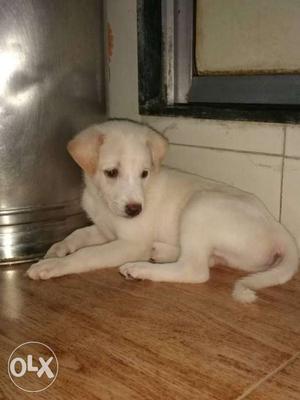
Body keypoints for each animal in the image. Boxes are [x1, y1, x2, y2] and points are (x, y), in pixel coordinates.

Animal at [27, 120, 298, 302]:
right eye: (111, 173)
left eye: (144, 173)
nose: (135, 210)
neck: (102, 202)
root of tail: (278, 228)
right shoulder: (104, 230)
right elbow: (78, 234)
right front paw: (56, 250)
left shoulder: (132, 243)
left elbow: (87, 254)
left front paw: (51, 266)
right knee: (207, 260)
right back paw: (160, 252)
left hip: (200, 207)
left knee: (195, 270)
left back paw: (140, 268)